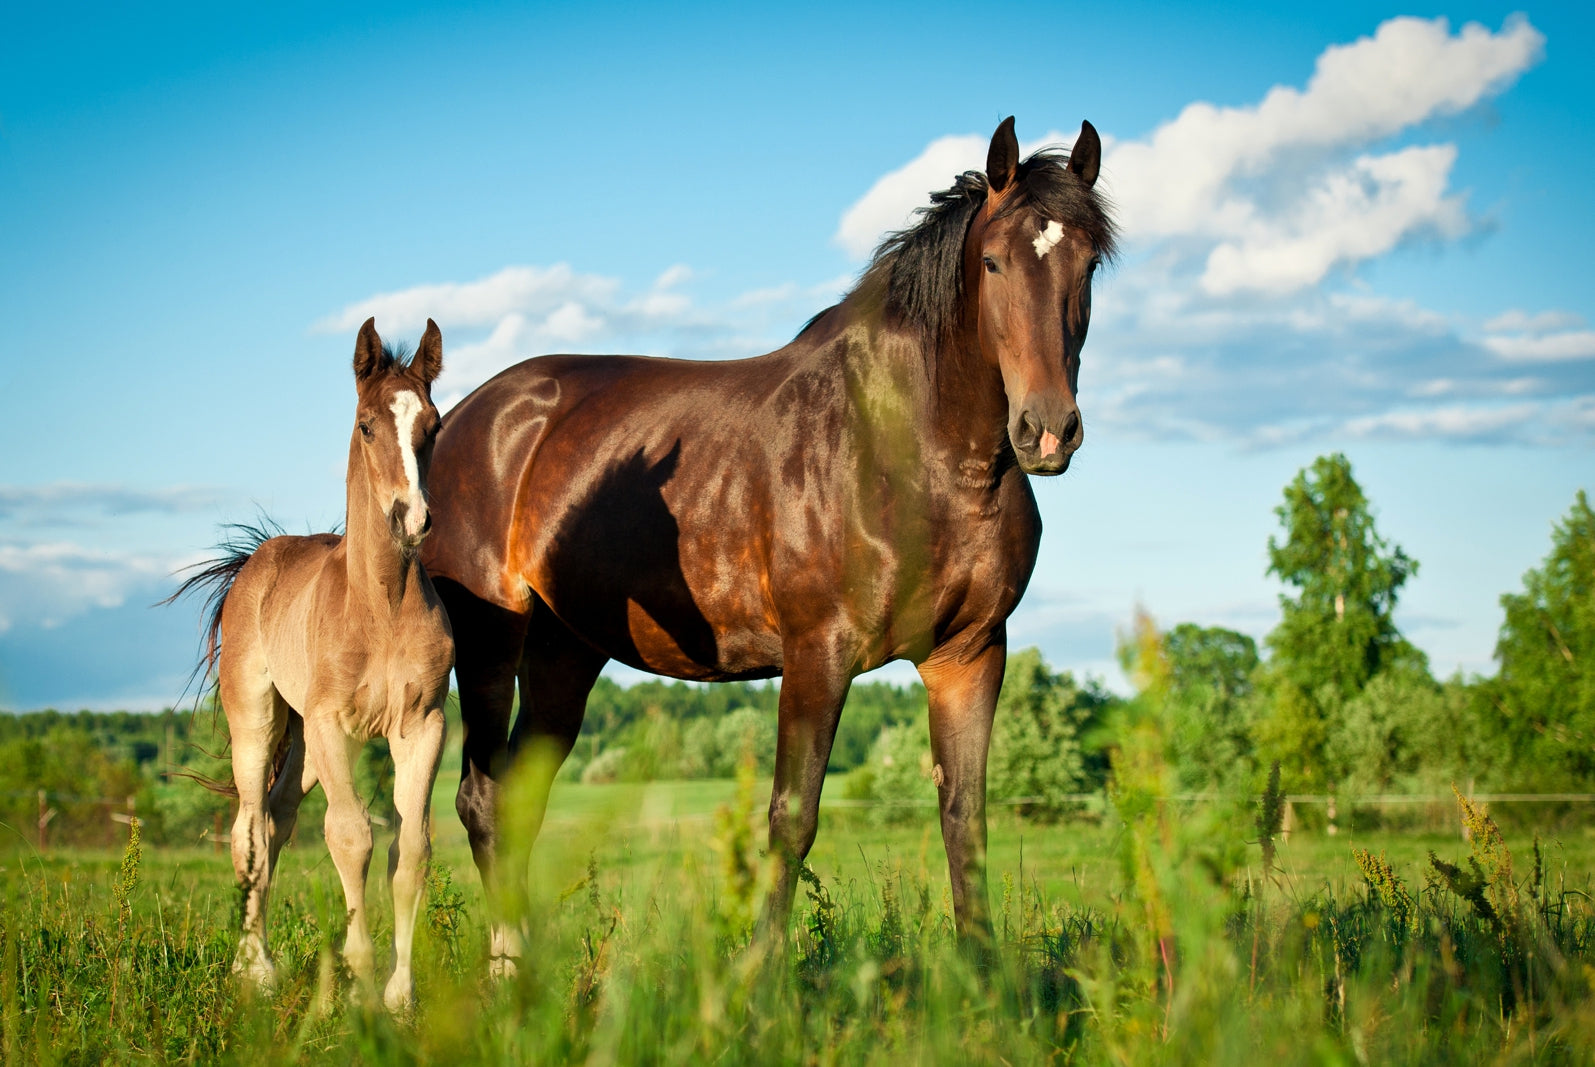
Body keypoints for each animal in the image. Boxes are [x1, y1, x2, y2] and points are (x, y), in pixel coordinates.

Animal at [170, 315, 452, 1007]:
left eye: (433, 423)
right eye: (366, 425)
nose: (412, 519)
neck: (381, 609)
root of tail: (256, 560)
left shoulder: (422, 726)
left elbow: (411, 848)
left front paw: (399, 993)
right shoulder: (333, 725)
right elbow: (350, 838)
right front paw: (357, 979)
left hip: (302, 744)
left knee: (276, 819)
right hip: (260, 720)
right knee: (248, 830)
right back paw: (254, 968)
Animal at [424, 116, 1122, 963]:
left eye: (1088, 264)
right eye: (992, 261)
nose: (1046, 429)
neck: (907, 451)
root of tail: (467, 419)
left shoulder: (970, 654)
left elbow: (966, 820)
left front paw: (983, 978)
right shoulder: (818, 653)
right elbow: (791, 818)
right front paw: (758, 977)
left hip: (566, 651)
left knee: (517, 799)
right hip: (490, 641)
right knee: (480, 798)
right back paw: (505, 969)